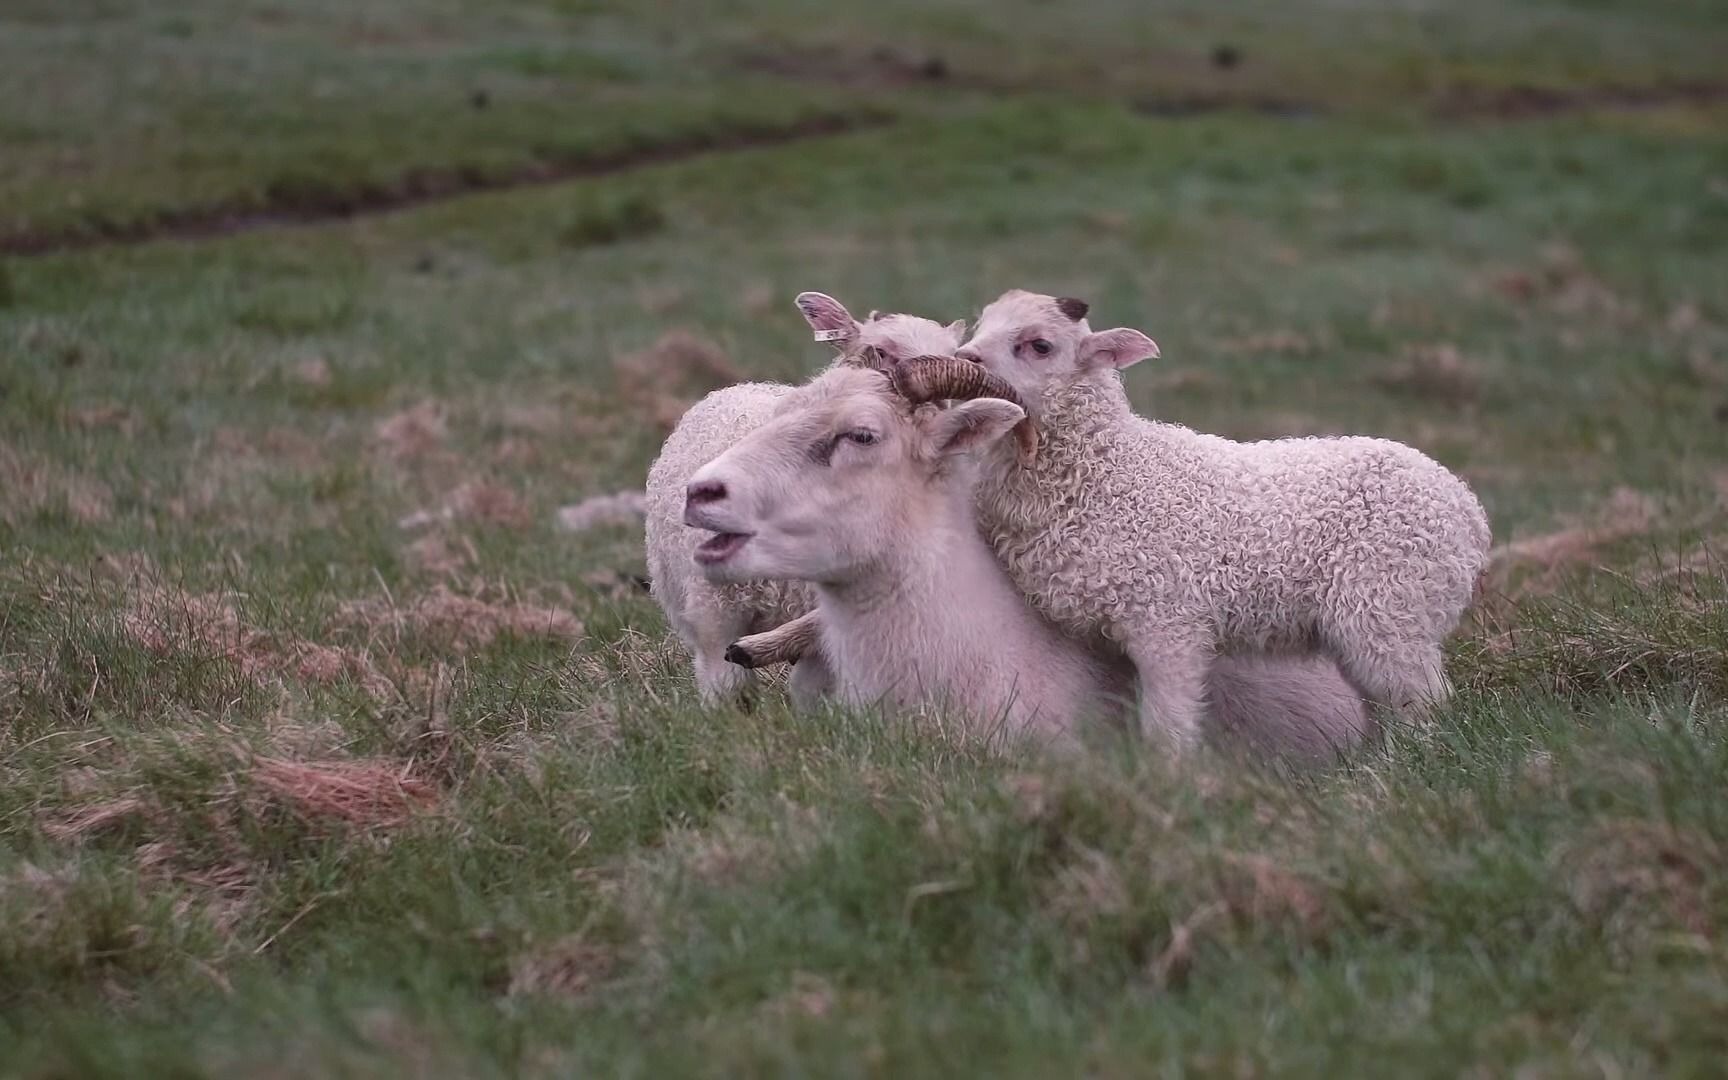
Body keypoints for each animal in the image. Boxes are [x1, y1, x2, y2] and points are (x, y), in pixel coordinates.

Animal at [926, 290, 1492, 746]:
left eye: (1039, 345)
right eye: (982, 325)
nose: (965, 359)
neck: (1105, 472)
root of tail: (1468, 510)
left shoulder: (1168, 621)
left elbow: (1168, 725)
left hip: (1391, 606)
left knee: (1422, 703)